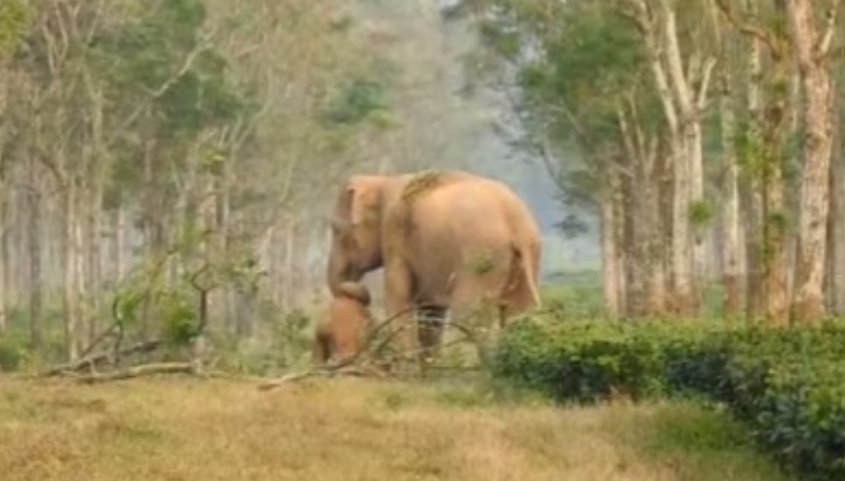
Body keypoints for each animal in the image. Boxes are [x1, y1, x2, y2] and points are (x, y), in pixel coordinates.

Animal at [326, 169, 542, 372]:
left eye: (336, 229)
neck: (383, 181)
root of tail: (516, 223)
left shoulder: (394, 234)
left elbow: (398, 299)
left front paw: (408, 372)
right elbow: (431, 310)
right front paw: (429, 370)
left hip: (481, 257)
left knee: (470, 316)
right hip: (527, 255)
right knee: (520, 311)